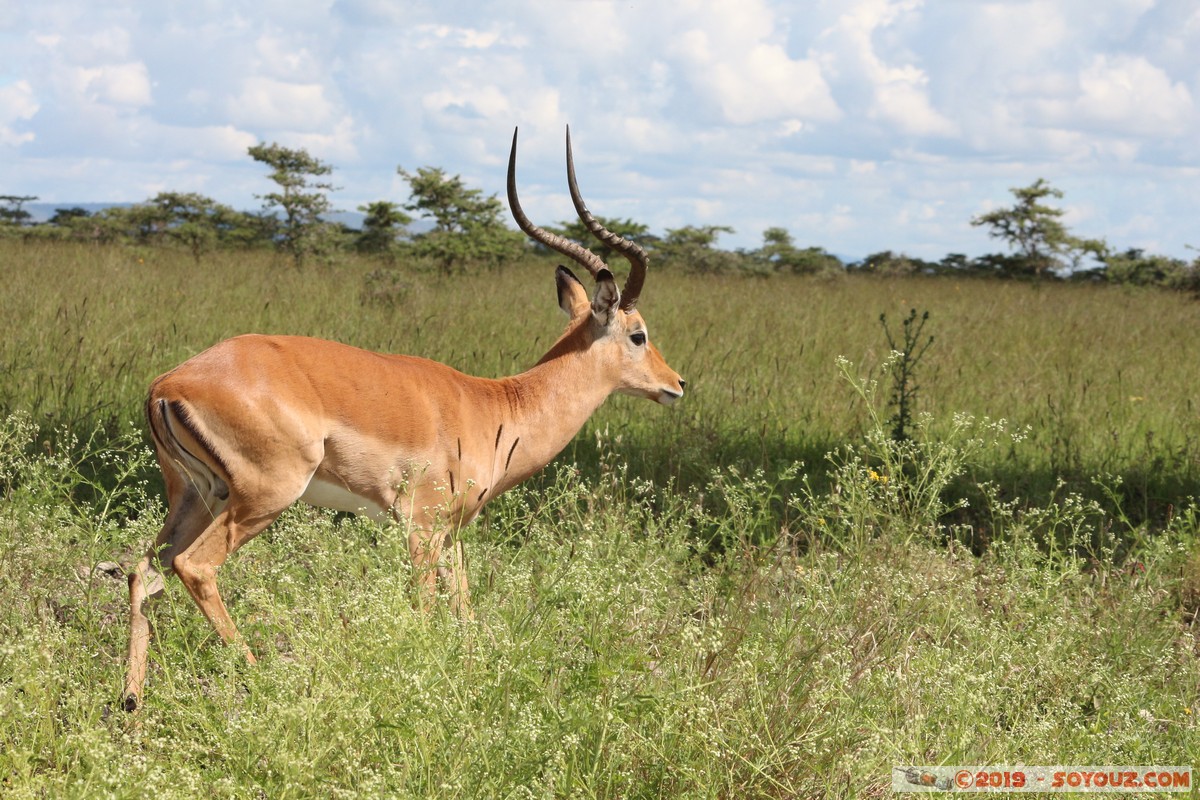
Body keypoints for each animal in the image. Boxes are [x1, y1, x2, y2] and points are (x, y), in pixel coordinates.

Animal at [122, 127, 685, 711]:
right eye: (638, 334)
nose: (676, 385)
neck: (496, 406)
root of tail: (168, 384)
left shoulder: (453, 534)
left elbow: (465, 613)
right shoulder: (420, 527)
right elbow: (426, 614)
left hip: (197, 496)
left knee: (143, 572)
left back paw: (131, 703)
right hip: (263, 496)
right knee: (194, 567)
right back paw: (259, 678)